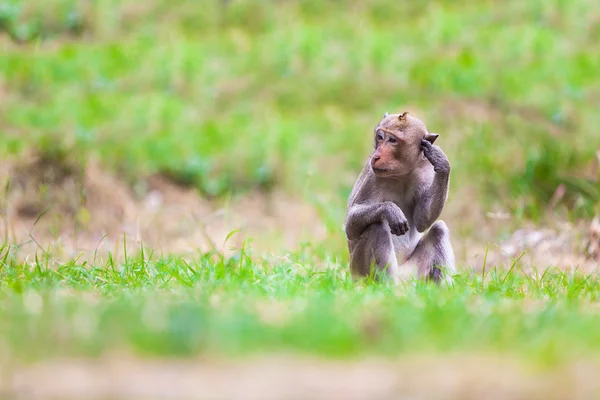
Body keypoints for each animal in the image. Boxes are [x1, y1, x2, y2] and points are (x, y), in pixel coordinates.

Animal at [342, 111, 454, 282]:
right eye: (380, 137)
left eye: (392, 140)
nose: (377, 156)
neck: (401, 174)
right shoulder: (372, 175)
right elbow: (350, 226)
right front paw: (390, 210)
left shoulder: (426, 170)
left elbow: (422, 221)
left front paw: (442, 163)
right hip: (359, 272)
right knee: (377, 227)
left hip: (414, 274)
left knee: (439, 230)